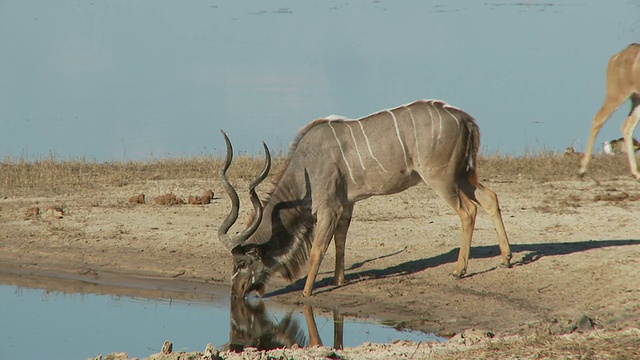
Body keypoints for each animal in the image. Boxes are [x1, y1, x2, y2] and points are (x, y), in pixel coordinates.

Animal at [218, 99, 512, 298]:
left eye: (241, 263)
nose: (235, 293)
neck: (307, 165)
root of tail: (463, 118)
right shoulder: (346, 206)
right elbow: (340, 240)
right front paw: (339, 280)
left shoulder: (328, 208)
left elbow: (318, 249)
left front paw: (306, 292)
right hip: (462, 176)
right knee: (490, 198)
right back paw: (506, 258)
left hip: (442, 179)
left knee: (468, 211)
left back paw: (459, 270)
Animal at [580, 43, 640, 180]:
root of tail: (616, 57)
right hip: (616, 96)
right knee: (598, 119)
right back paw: (582, 170)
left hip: (636, 100)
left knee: (626, 126)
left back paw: (636, 173)